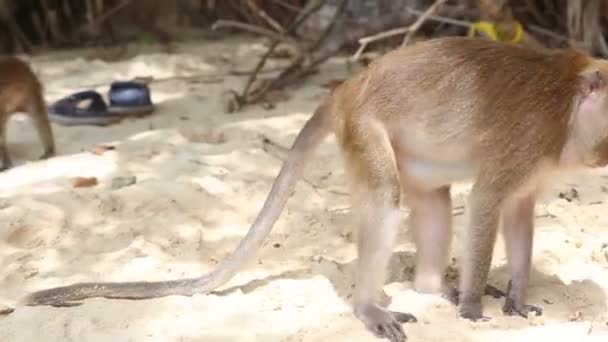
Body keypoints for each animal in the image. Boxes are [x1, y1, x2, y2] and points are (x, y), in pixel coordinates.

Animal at [19, 36, 608, 340]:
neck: (572, 107)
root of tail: (349, 86)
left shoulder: (537, 163)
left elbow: (518, 213)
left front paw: (515, 299)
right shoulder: (532, 136)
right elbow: (487, 201)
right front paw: (470, 311)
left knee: (431, 200)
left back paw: (427, 286)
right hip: (366, 130)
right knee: (387, 198)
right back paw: (371, 307)